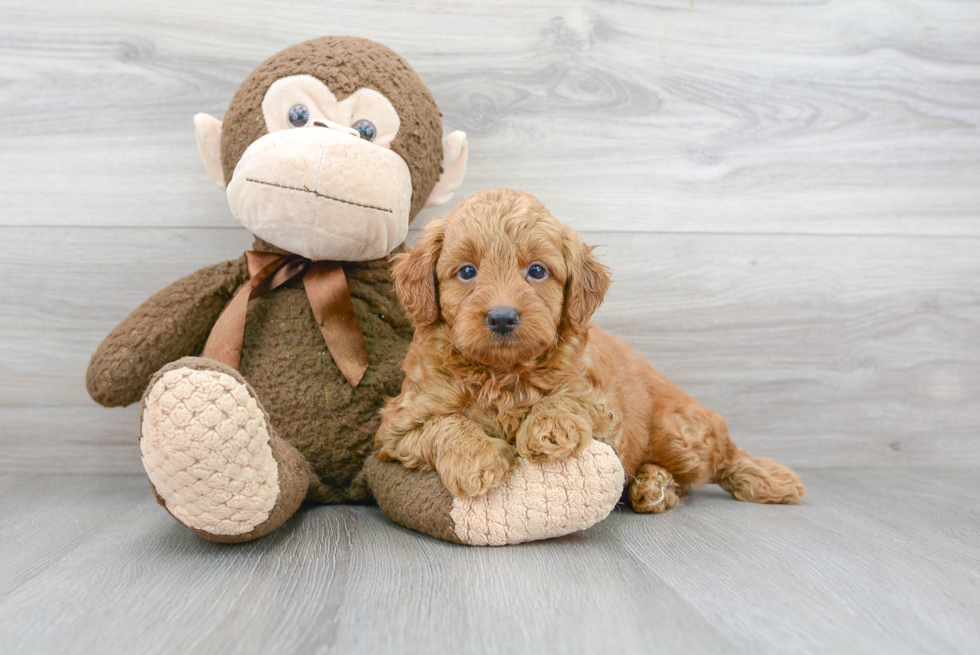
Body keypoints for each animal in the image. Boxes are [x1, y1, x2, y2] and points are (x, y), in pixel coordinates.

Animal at [376, 187, 804, 510]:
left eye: (537, 270)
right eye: (466, 271)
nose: (502, 318)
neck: (502, 372)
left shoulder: (605, 410)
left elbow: (569, 399)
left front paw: (549, 427)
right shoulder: (398, 427)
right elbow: (445, 423)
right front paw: (478, 460)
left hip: (678, 434)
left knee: (722, 460)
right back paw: (654, 487)